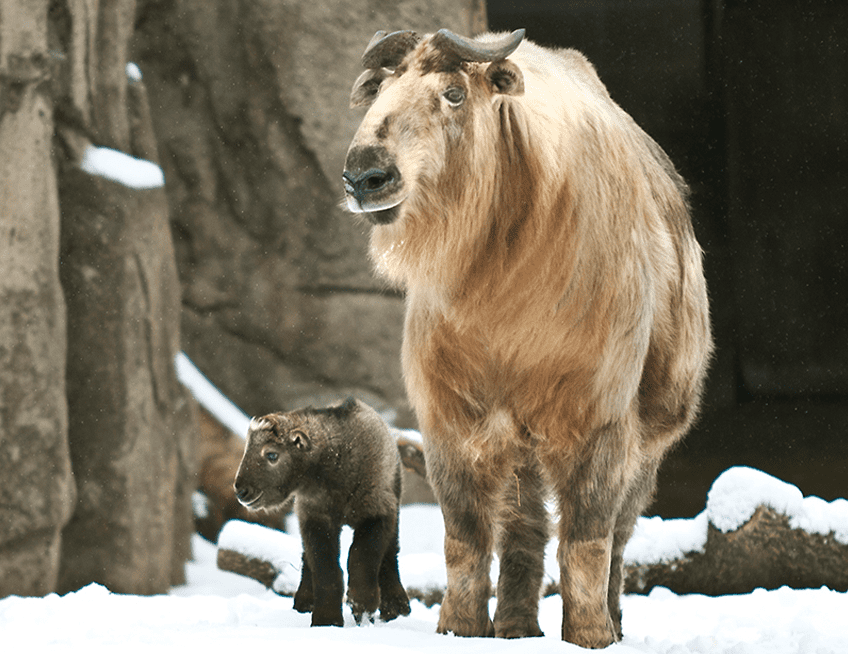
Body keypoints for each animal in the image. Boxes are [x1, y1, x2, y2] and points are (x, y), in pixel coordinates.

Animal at [234, 398, 412, 628]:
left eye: (271, 454)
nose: (241, 490)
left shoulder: (377, 512)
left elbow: (362, 558)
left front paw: (362, 606)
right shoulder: (315, 518)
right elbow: (325, 569)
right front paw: (326, 621)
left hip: (394, 502)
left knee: (390, 555)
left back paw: (396, 609)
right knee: (306, 559)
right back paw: (303, 603)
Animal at [342, 26, 712, 652]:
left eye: (453, 93)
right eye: (381, 90)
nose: (366, 175)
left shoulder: (600, 418)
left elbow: (588, 539)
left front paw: (590, 635)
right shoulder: (451, 420)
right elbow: (464, 537)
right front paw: (459, 629)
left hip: (649, 436)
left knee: (618, 534)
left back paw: (609, 621)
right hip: (518, 444)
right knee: (524, 528)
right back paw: (516, 626)